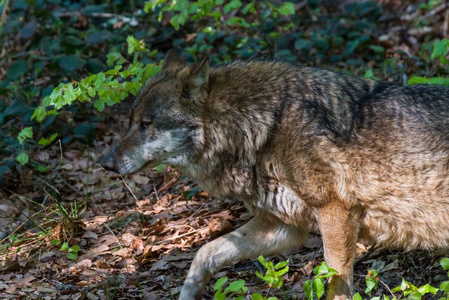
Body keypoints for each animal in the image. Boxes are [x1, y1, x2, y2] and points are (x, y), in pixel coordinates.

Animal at [100, 50, 448, 298]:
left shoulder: (335, 212)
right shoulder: (283, 227)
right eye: (131, 122)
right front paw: (189, 293)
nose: (106, 163)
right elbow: (204, 253)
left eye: (146, 124)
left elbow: (335, 285)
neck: (264, 127)